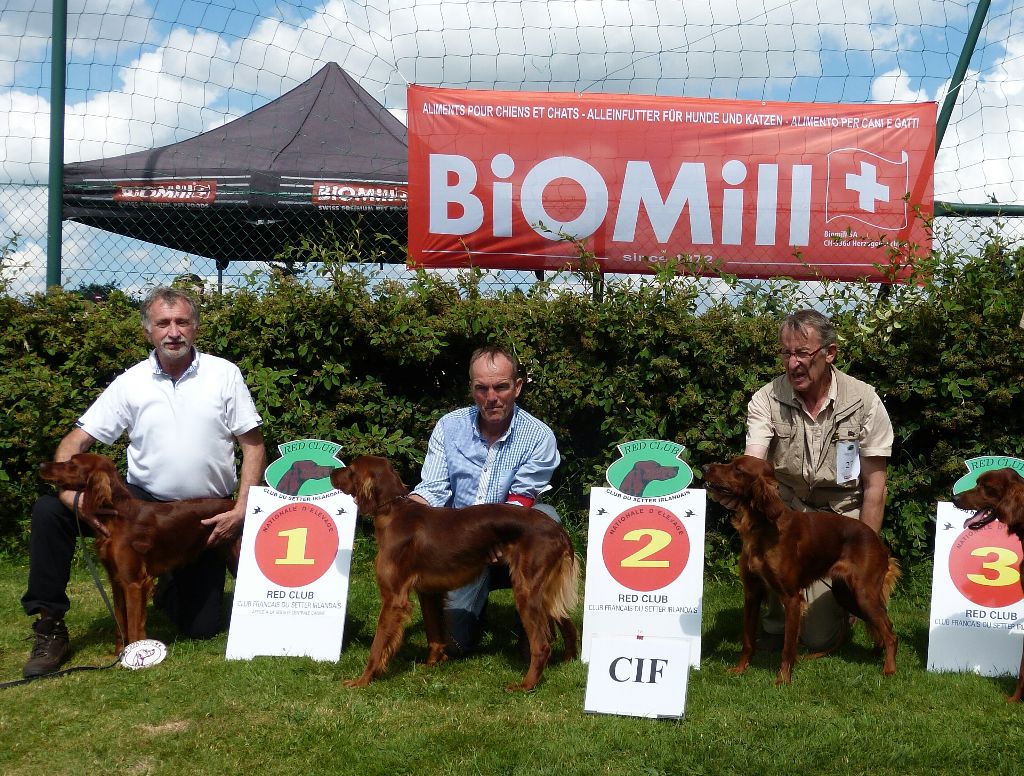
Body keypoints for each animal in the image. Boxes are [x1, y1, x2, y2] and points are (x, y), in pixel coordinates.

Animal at [38, 452, 238, 655]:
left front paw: (133, 654)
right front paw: (119, 653)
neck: (115, 515)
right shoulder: (117, 581)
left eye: (72, 464)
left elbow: (134, 625)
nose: (41, 465)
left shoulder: (133, 582)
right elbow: (120, 622)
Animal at [331, 456, 581, 692]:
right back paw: (567, 661)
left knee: (542, 644)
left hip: (526, 590)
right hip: (546, 591)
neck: (393, 510)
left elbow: (378, 644)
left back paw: (526, 685)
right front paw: (432, 663)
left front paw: (363, 679)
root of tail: (559, 531)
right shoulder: (428, 592)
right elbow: (433, 632)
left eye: (351, 470)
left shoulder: (393, 598)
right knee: (566, 621)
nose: (332, 472)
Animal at [704, 456, 897, 687]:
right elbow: (748, 639)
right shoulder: (752, 593)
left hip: (863, 594)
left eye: (738, 470)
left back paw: (889, 669)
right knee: (884, 625)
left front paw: (783, 680)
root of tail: (878, 543)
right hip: (846, 595)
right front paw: (740, 669)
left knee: (889, 632)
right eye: (731, 463)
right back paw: (876, 654)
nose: (704, 468)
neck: (764, 526)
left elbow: (788, 647)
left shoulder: (792, 598)